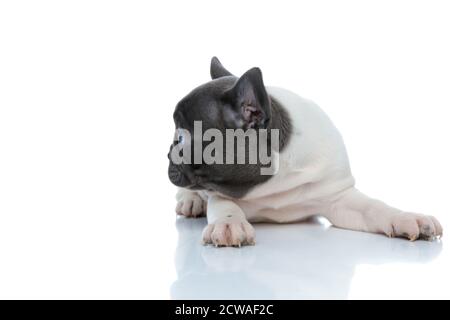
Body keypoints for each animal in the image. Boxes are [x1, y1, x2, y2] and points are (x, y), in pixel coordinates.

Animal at [168, 57, 442, 248]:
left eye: (181, 138)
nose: (169, 150)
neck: (271, 182)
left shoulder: (337, 197)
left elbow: (374, 207)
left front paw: (408, 217)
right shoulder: (218, 189)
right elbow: (222, 204)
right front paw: (228, 223)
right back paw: (190, 201)